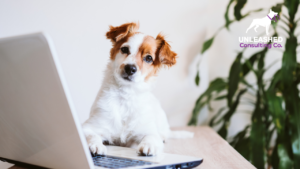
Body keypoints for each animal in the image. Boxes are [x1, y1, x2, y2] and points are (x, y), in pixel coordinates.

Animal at [82, 22, 195, 156]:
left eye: (149, 58)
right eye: (125, 49)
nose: (130, 68)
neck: (126, 96)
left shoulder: (148, 131)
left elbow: (151, 137)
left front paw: (149, 146)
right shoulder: (89, 126)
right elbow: (91, 135)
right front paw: (95, 145)